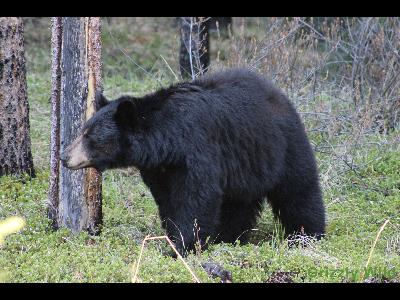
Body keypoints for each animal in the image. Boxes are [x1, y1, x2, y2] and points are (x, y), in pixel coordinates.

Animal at [61, 67, 326, 255]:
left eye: (89, 136)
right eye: (83, 130)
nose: (64, 156)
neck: (167, 144)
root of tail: (279, 94)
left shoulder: (197, 149)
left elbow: (198, 197)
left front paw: (181, 247)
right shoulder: (160, 169)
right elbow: (168, 200)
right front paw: (173, 236)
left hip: (282, 145)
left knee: (298, 190)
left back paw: (306, 236)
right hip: (246, 167)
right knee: (238, 203)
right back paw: (228, 237)